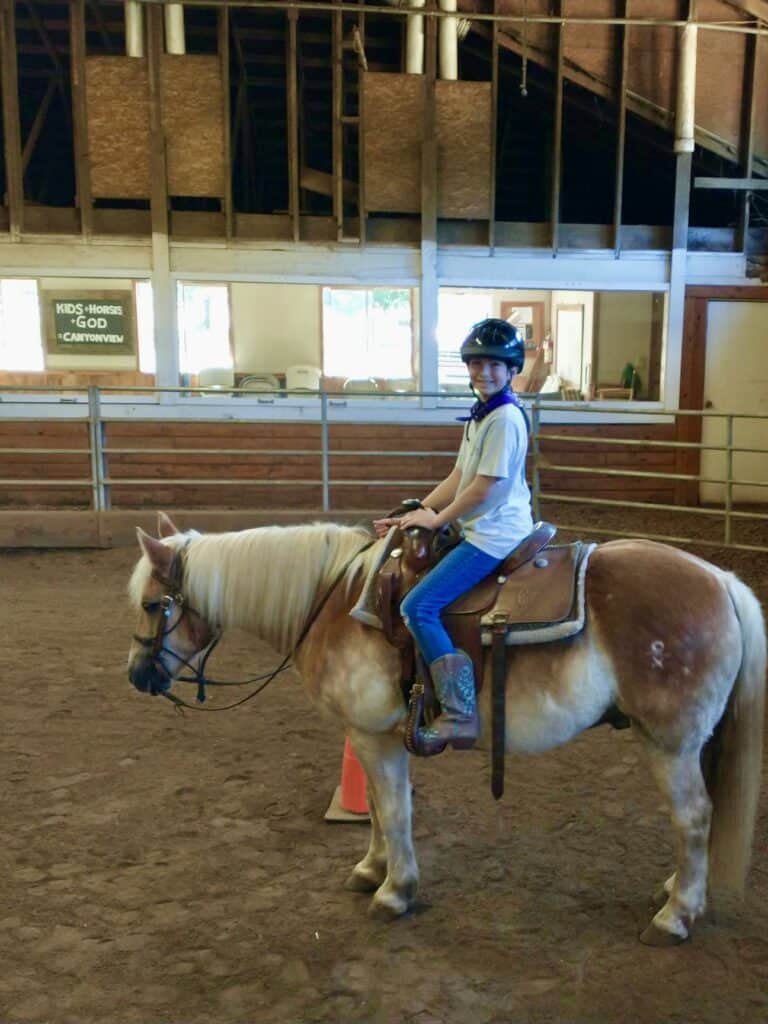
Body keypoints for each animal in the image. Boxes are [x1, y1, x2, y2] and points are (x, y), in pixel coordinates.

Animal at [124, 509, 765, 942]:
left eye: (154, 605)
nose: (136, 674)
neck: (337, 603)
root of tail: (720, 579)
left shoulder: (375, 737)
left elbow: (395, 810)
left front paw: (395, 891)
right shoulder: (369, 737)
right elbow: (376, 807)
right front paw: (371, 869)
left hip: (669, 743)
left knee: (694, 816)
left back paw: (676, 915)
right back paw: (677, 890)